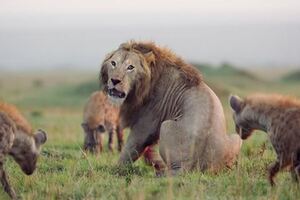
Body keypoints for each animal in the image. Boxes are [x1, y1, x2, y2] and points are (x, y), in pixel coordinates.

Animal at [99, 41, 243, 174]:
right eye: (113, 63)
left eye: (130, 67)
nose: (114, 80)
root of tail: (201, 166)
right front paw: (153, 162)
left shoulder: (146, 124)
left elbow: (130, 149)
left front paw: (114, 169)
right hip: (236, 137)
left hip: (166, 126)